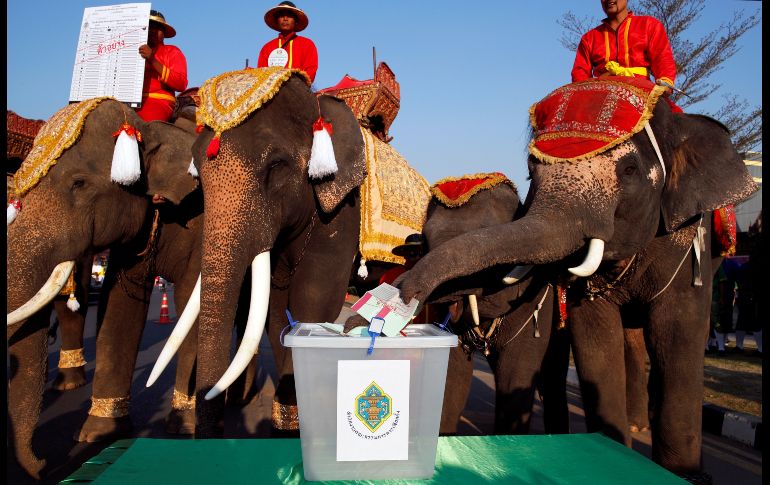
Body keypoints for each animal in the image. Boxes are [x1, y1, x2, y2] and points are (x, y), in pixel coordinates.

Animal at [396, 78, 758, 476]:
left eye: (629, 170)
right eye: (530, 173)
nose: (402, 292)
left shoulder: (689, 241)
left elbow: (677, 329)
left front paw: (677, 473)